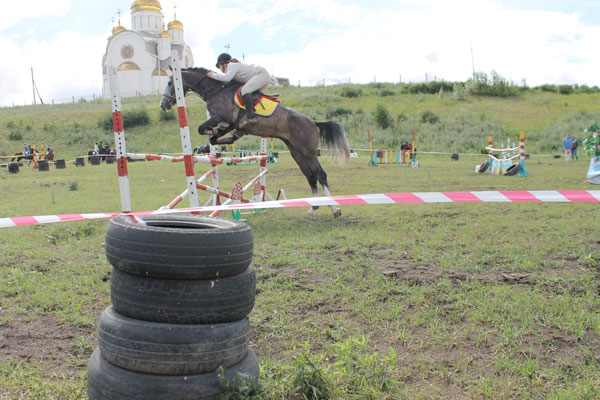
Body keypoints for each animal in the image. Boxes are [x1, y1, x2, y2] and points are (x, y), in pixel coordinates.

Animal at [162, 67, 354, 217]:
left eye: (171, 82)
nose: (163, 105)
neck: (215, 90)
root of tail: (313, 122)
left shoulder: (223, 117)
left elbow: (203, 128)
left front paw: (215, 134)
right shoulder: (228, 123)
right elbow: (215, 136)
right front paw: (220, 139)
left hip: (307, 152)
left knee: (320, 175)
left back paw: (334, 208)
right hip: (297, 153)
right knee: (311, 177)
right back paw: (314, 207)